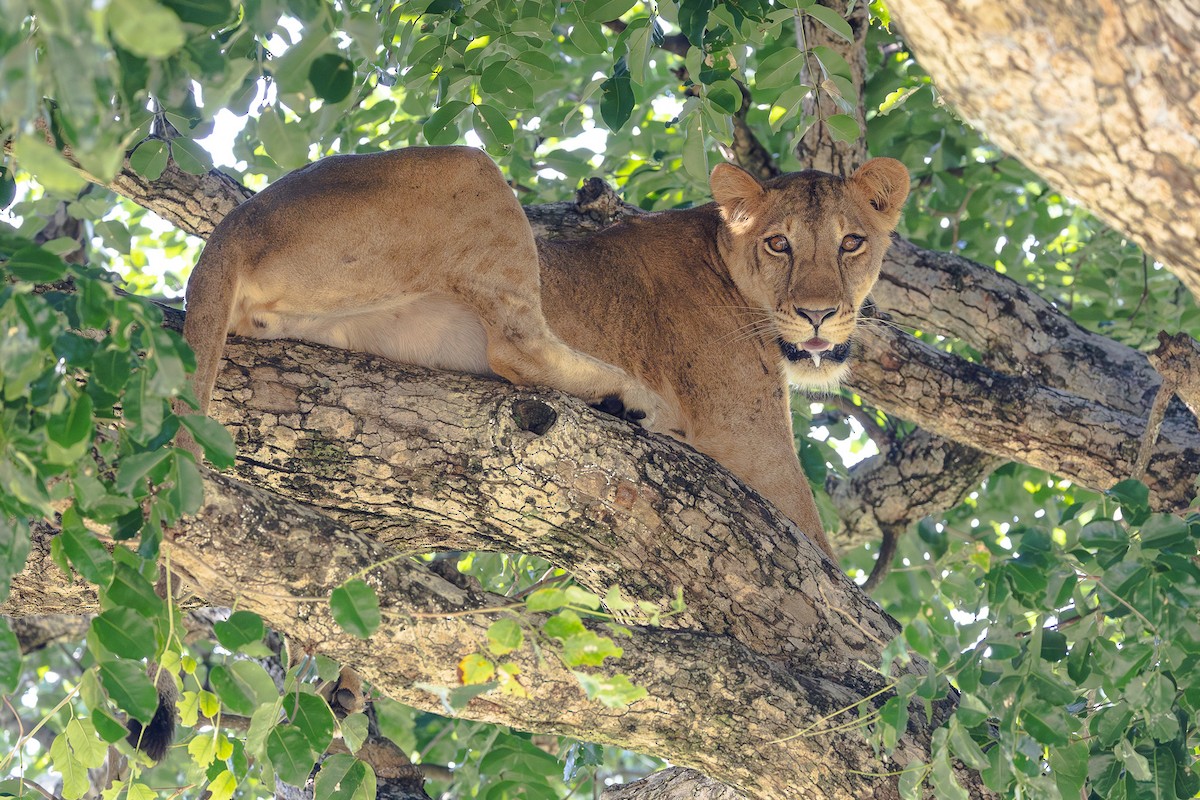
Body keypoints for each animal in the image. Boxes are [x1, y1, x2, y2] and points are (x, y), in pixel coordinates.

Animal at [182, 146, 909, 559]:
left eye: (851, 242)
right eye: (779, 244)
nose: (817, 313)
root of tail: (232, 225)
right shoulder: (751, 448)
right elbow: (822, 552)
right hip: (470, 170)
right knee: (516, 345)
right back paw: (633, 400)